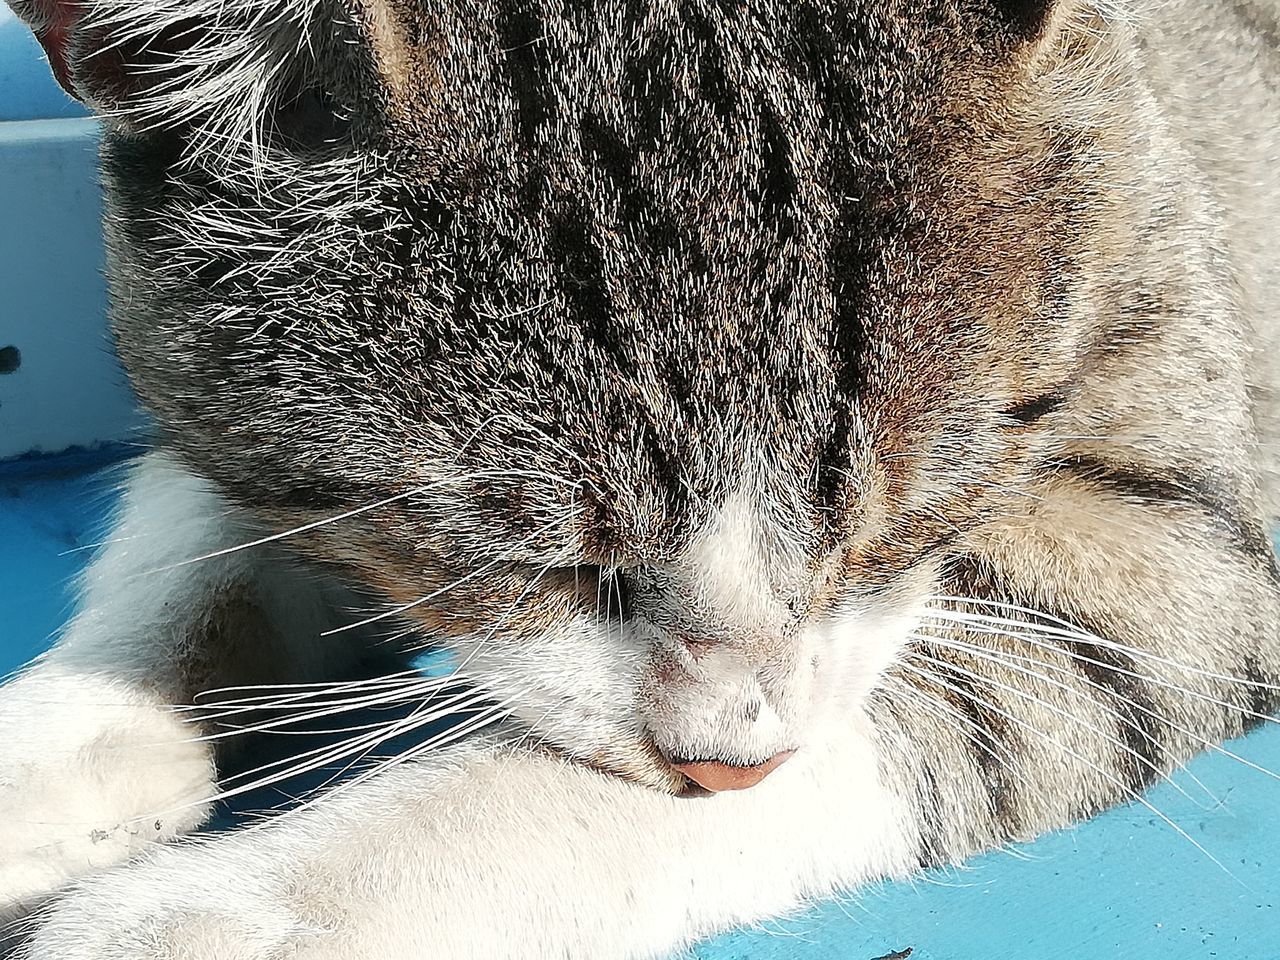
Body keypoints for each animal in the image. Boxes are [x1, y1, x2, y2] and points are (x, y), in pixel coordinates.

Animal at [2, 0, 1280, 957]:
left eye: (895, 530)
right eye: (543, 563)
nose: (724, 765)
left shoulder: (1181, 536)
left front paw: (228, 907)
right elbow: (204, 536)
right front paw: (55, 756)